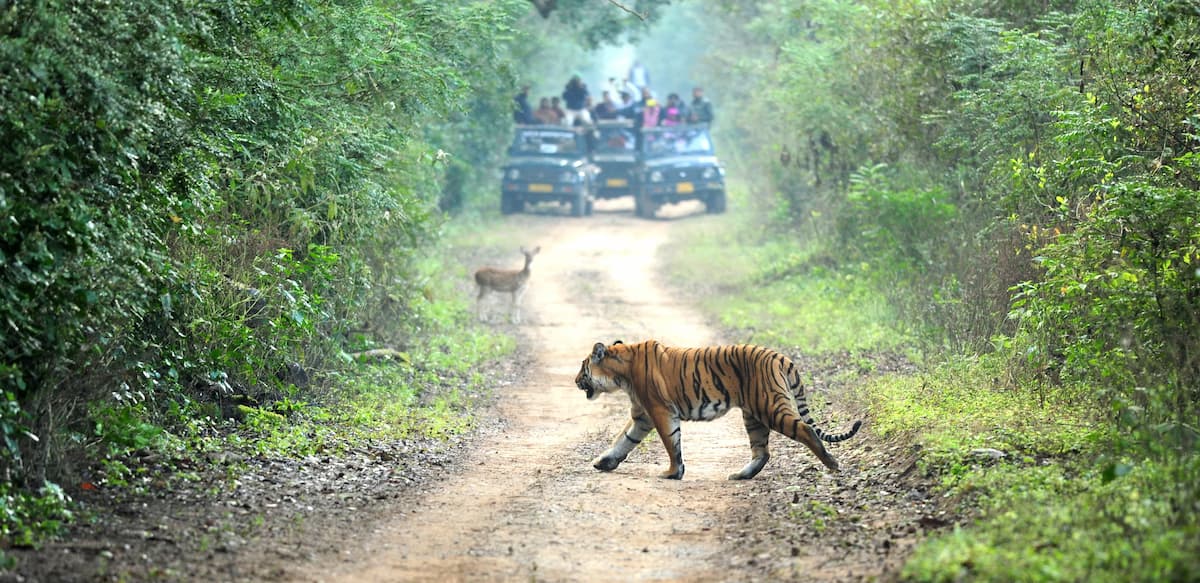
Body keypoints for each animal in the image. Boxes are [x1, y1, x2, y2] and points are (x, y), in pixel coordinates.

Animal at [574, 339, 862, 480]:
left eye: (582, 366)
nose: (575, 381)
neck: (621, 374)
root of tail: (781, 357)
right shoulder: (642, 416)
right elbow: (623, 440)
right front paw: (604, 462)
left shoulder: (660, 411)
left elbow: (671, 443)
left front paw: (673, 473)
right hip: (753, 416)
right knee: (762, 452)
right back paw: (740, 475)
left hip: (770, 406)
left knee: (805, 430)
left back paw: (832, 464)